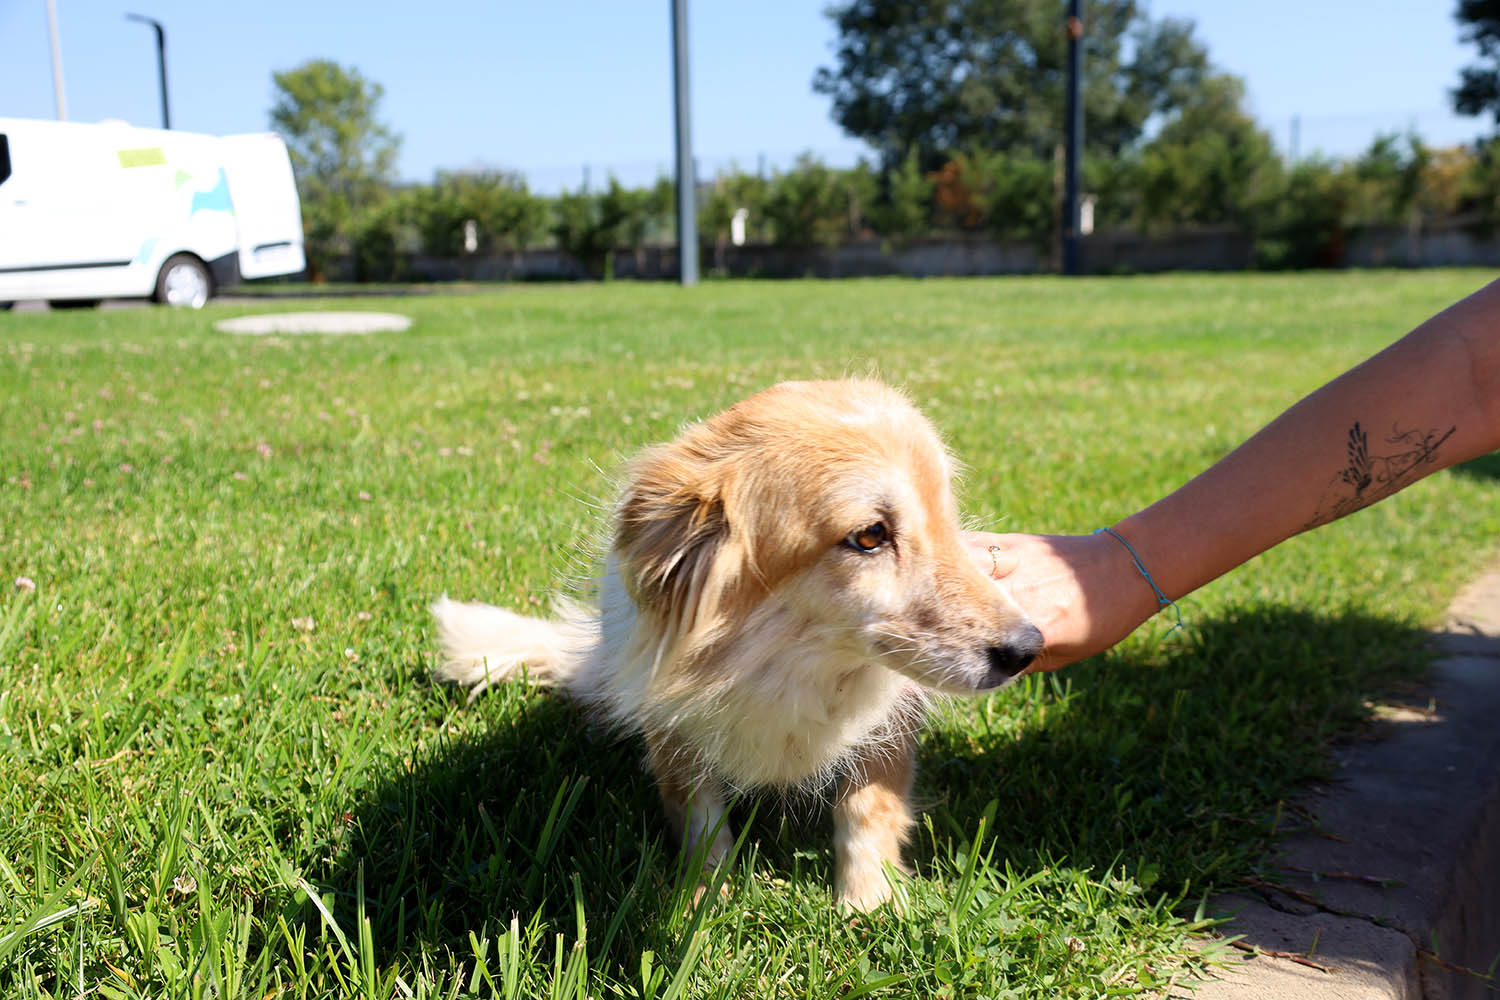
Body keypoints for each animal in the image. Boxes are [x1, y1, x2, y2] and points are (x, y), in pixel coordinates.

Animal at [432, 379, 1044, 911]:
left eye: (947, 521)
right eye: (870, 535)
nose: (1029, 647)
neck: (783, 663)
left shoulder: (889, 724)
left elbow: (868, 807)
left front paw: (868, 903)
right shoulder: (675, 730)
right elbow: (702, 822)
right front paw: (706, 903)